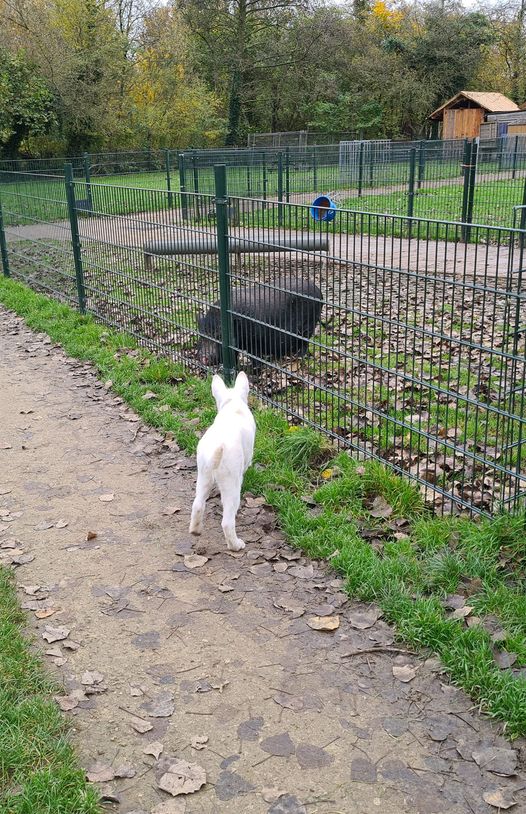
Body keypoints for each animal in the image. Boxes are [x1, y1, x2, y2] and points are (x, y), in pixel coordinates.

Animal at [190, 372, 256, 552]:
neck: (232, 404)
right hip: (231, 483)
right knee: (227, 521)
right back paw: (236, 545)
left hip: (203, 475)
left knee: (197, 504)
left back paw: (195, 530)